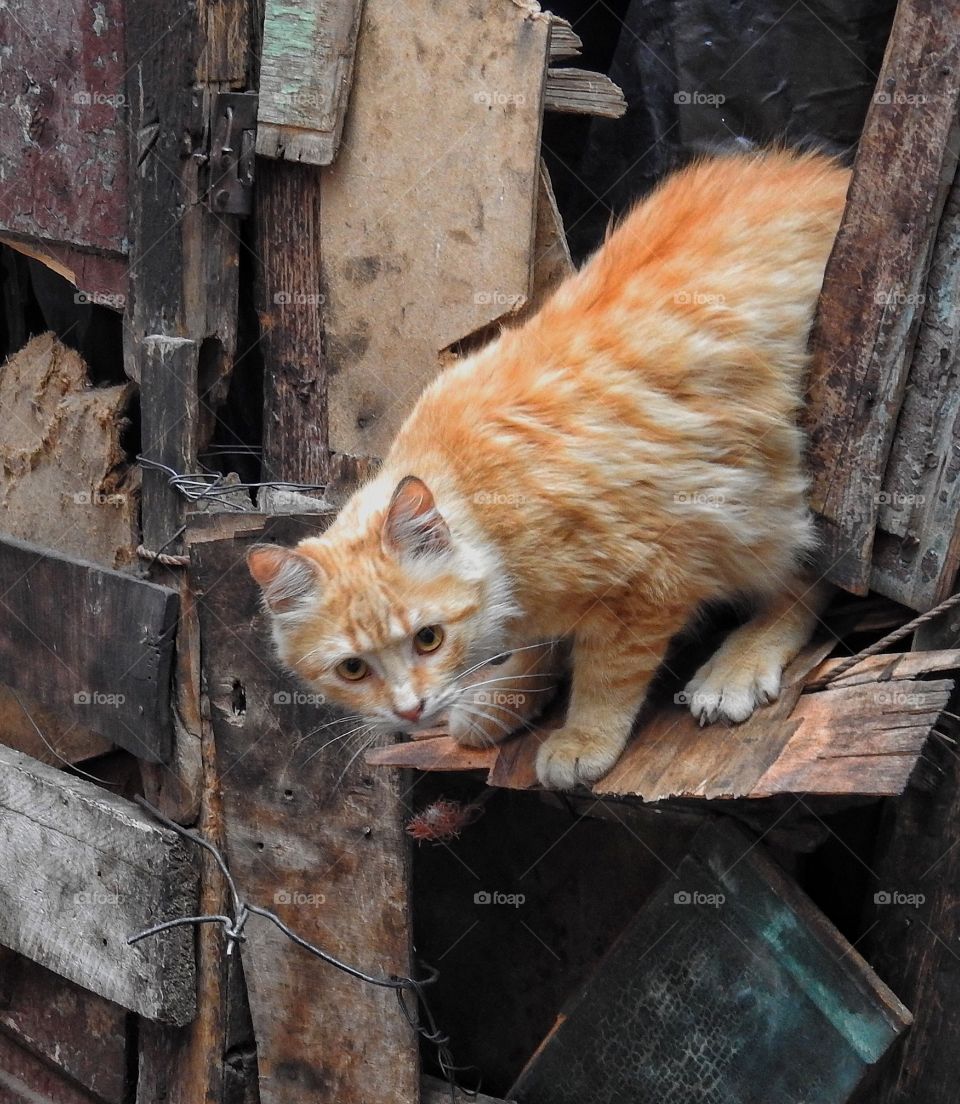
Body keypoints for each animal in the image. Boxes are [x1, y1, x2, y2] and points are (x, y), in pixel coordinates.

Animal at [248, 149, 847, 786]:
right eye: (353, 670)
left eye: (429, 639)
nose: (410, 711)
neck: (480, 503)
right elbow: (545, 640)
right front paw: (505, 696)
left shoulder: (657, 575)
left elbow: (608, 671)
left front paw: (584, 737)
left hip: (777, 499)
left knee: (810, 584)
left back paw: (737, 666)